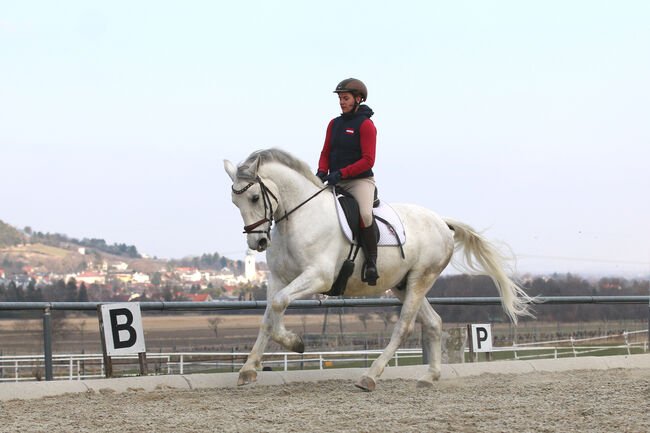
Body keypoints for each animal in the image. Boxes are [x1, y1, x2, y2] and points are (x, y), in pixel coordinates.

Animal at [223, 148, 532, 392]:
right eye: (234, 202)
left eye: (254, 197)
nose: (257, 242)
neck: (298, 218)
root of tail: (442, 222)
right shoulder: (278, 278)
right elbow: (268, 316)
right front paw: (249, 369)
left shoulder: (317, 277)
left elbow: (279, 304)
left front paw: (295, 342)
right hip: (403, 284)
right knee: (433, 323)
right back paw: (429, 377)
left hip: (421, 278)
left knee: (405, 326)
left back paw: (370, 376)